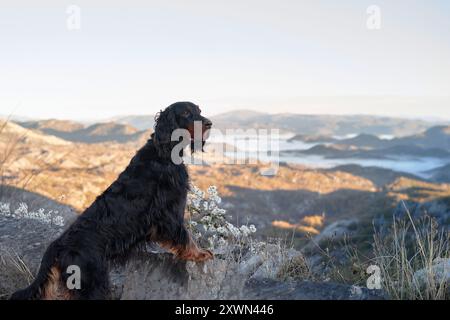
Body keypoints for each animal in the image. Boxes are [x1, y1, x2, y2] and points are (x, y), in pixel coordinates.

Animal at [10, 101, 214, 298]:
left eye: (199, 110)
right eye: (186, 113)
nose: (209, 123)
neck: (163, 151)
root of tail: (58, 247)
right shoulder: (171, 210)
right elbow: (184, 235)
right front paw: (199, 253)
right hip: (92, 282)